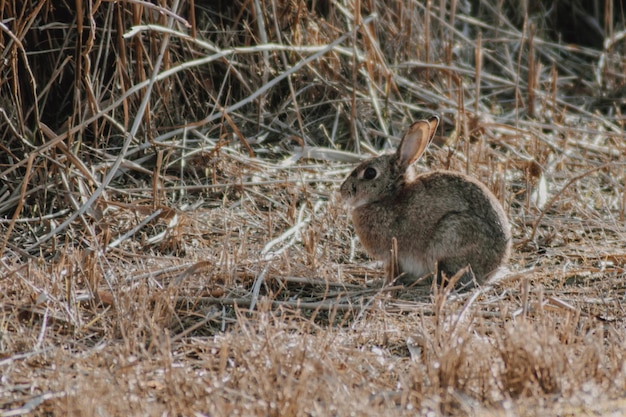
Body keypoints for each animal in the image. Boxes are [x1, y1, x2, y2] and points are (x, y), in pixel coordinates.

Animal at [338, 115, 510, 288]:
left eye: (370, 173)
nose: (343, 191)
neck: (389, 196)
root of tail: (493, 269)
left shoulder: (394, 253)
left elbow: (392, 271)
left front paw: (382, 283)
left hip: (450, 237)